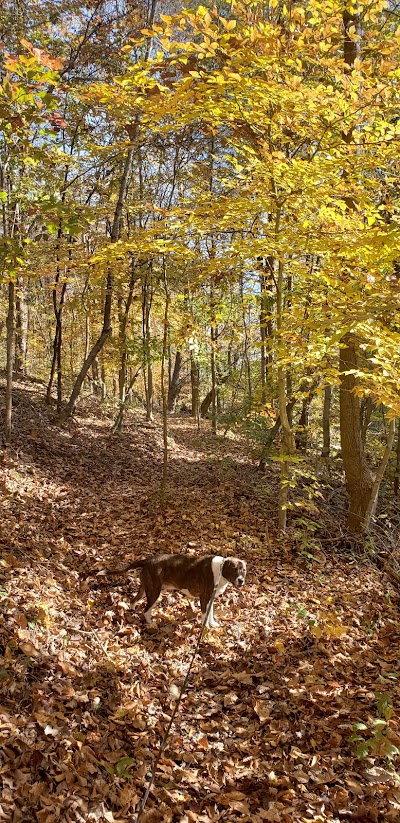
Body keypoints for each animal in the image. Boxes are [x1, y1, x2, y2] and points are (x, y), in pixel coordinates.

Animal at [104, 552, 245, 632]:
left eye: (243, 570)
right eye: (233, 569)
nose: (241, 580)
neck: (220, 570)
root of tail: (148, 560)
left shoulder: (210, 599)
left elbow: (210, 615)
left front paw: (213, 624)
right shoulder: (204, 598)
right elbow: (205, 615)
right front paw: (206, 629)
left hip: (145, 588)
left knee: (133, 600)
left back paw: (132, 611)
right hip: (154, 592)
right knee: (146, 610)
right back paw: (151, 624)